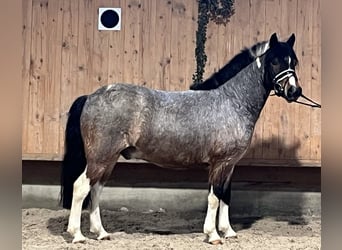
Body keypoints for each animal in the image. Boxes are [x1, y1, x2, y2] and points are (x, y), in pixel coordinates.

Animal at [60, 33, 302, 244]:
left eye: (294, 62)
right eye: (274, 61)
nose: (294, 91)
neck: (232, 101)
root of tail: (90, 96)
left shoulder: (230, 165)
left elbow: (225, 195)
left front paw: (228, 232)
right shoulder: (219, 163)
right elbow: (214, 197)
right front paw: (213, 235)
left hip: (108, 159)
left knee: (96, 189)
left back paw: (101, 232)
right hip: (100, 157)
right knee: (81, 187)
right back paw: (77, 235)